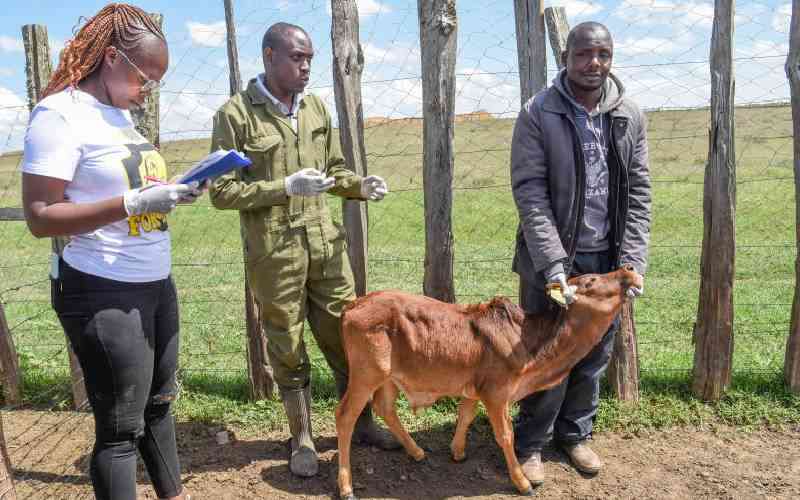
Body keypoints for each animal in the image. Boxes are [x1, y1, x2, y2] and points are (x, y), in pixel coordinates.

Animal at [334, 264, 640, 498]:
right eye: (590, 280)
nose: (629, 268)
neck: (528, 342)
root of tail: (353, 305)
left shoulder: (474, 389)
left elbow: (465, 415)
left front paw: (457, 452)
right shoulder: (496, 392)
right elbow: (505, 435)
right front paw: (522, 482)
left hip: (388, 376)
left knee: (385, 408)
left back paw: (417, 451)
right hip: (366, 373)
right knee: (345, 415)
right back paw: (346, 486)